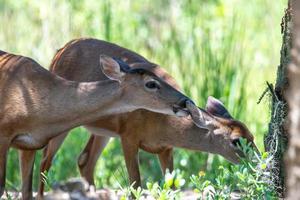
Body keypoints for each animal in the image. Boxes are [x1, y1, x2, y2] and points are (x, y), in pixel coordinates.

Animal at [34, 38, 255, 198]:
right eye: (236, 141)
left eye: (252, 136)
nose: (257, 162)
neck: (163, 126)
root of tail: (60, 51)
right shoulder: (129, 136)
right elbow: (135, 185)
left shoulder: (166, 148)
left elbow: (171, 187)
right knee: (45, 161)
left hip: (103, 131)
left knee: (84, 160)